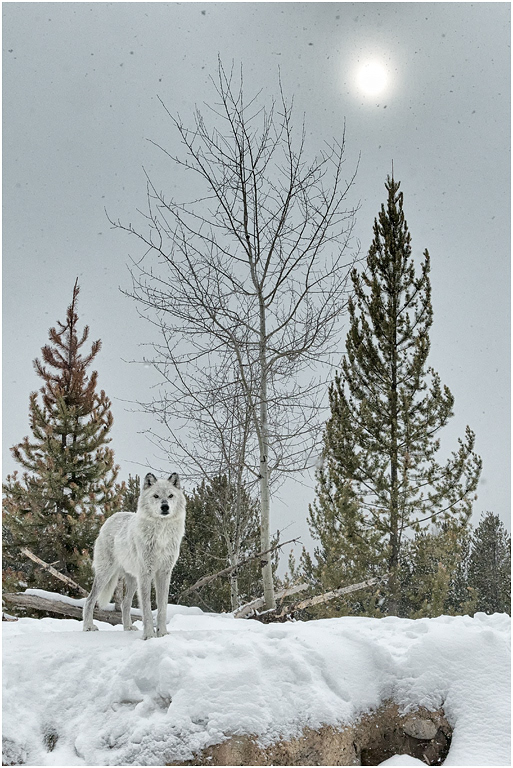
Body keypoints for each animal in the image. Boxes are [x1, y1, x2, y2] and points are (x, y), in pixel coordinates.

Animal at [82, 472, 186, 640]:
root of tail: (111, 518)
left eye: (170, 495)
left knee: (125, 603)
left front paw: (162, 634)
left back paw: (128, 628)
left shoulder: (164, 573)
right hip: (106, 574)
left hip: (132, 579)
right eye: (156, 496)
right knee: (89, 600)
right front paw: (149, 635)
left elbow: (162, 608)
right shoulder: (146, 573)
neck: (161, 534)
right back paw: (88, 627)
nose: (165, 507)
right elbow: (147, 609)